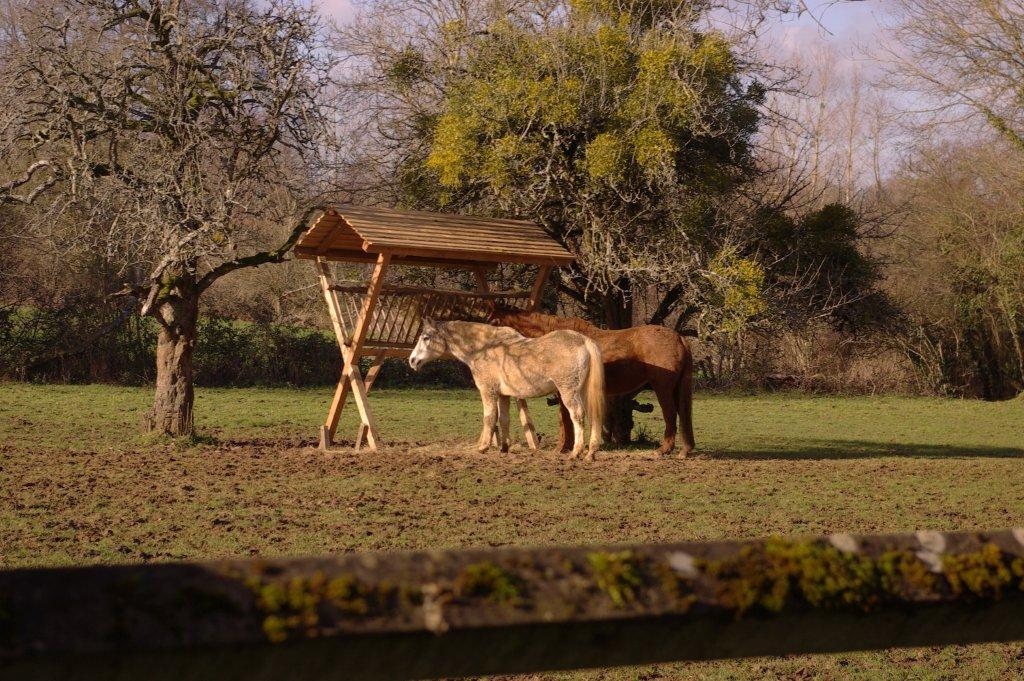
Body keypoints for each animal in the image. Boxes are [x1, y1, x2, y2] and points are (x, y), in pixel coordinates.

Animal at [409, 319, 606, 461]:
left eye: (426, 337)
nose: (412, 361)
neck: (485, 348)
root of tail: (583, 340)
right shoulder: (503, 395)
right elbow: (504, 419)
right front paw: (504, 448)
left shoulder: (488, 391)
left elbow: (489, 418)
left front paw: (483, 447)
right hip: (584, 392)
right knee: (593, 416)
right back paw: (590, 453)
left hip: (569, 392)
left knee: (578, 415)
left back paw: (576, 452)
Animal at [487, 304, 695, 458]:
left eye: (491, 323)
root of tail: (679, 338)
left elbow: (565, 419)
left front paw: (563, 448)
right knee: (683, 414)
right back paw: (685, 450)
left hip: (663, 389)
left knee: (671, 415)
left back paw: (664, 449)